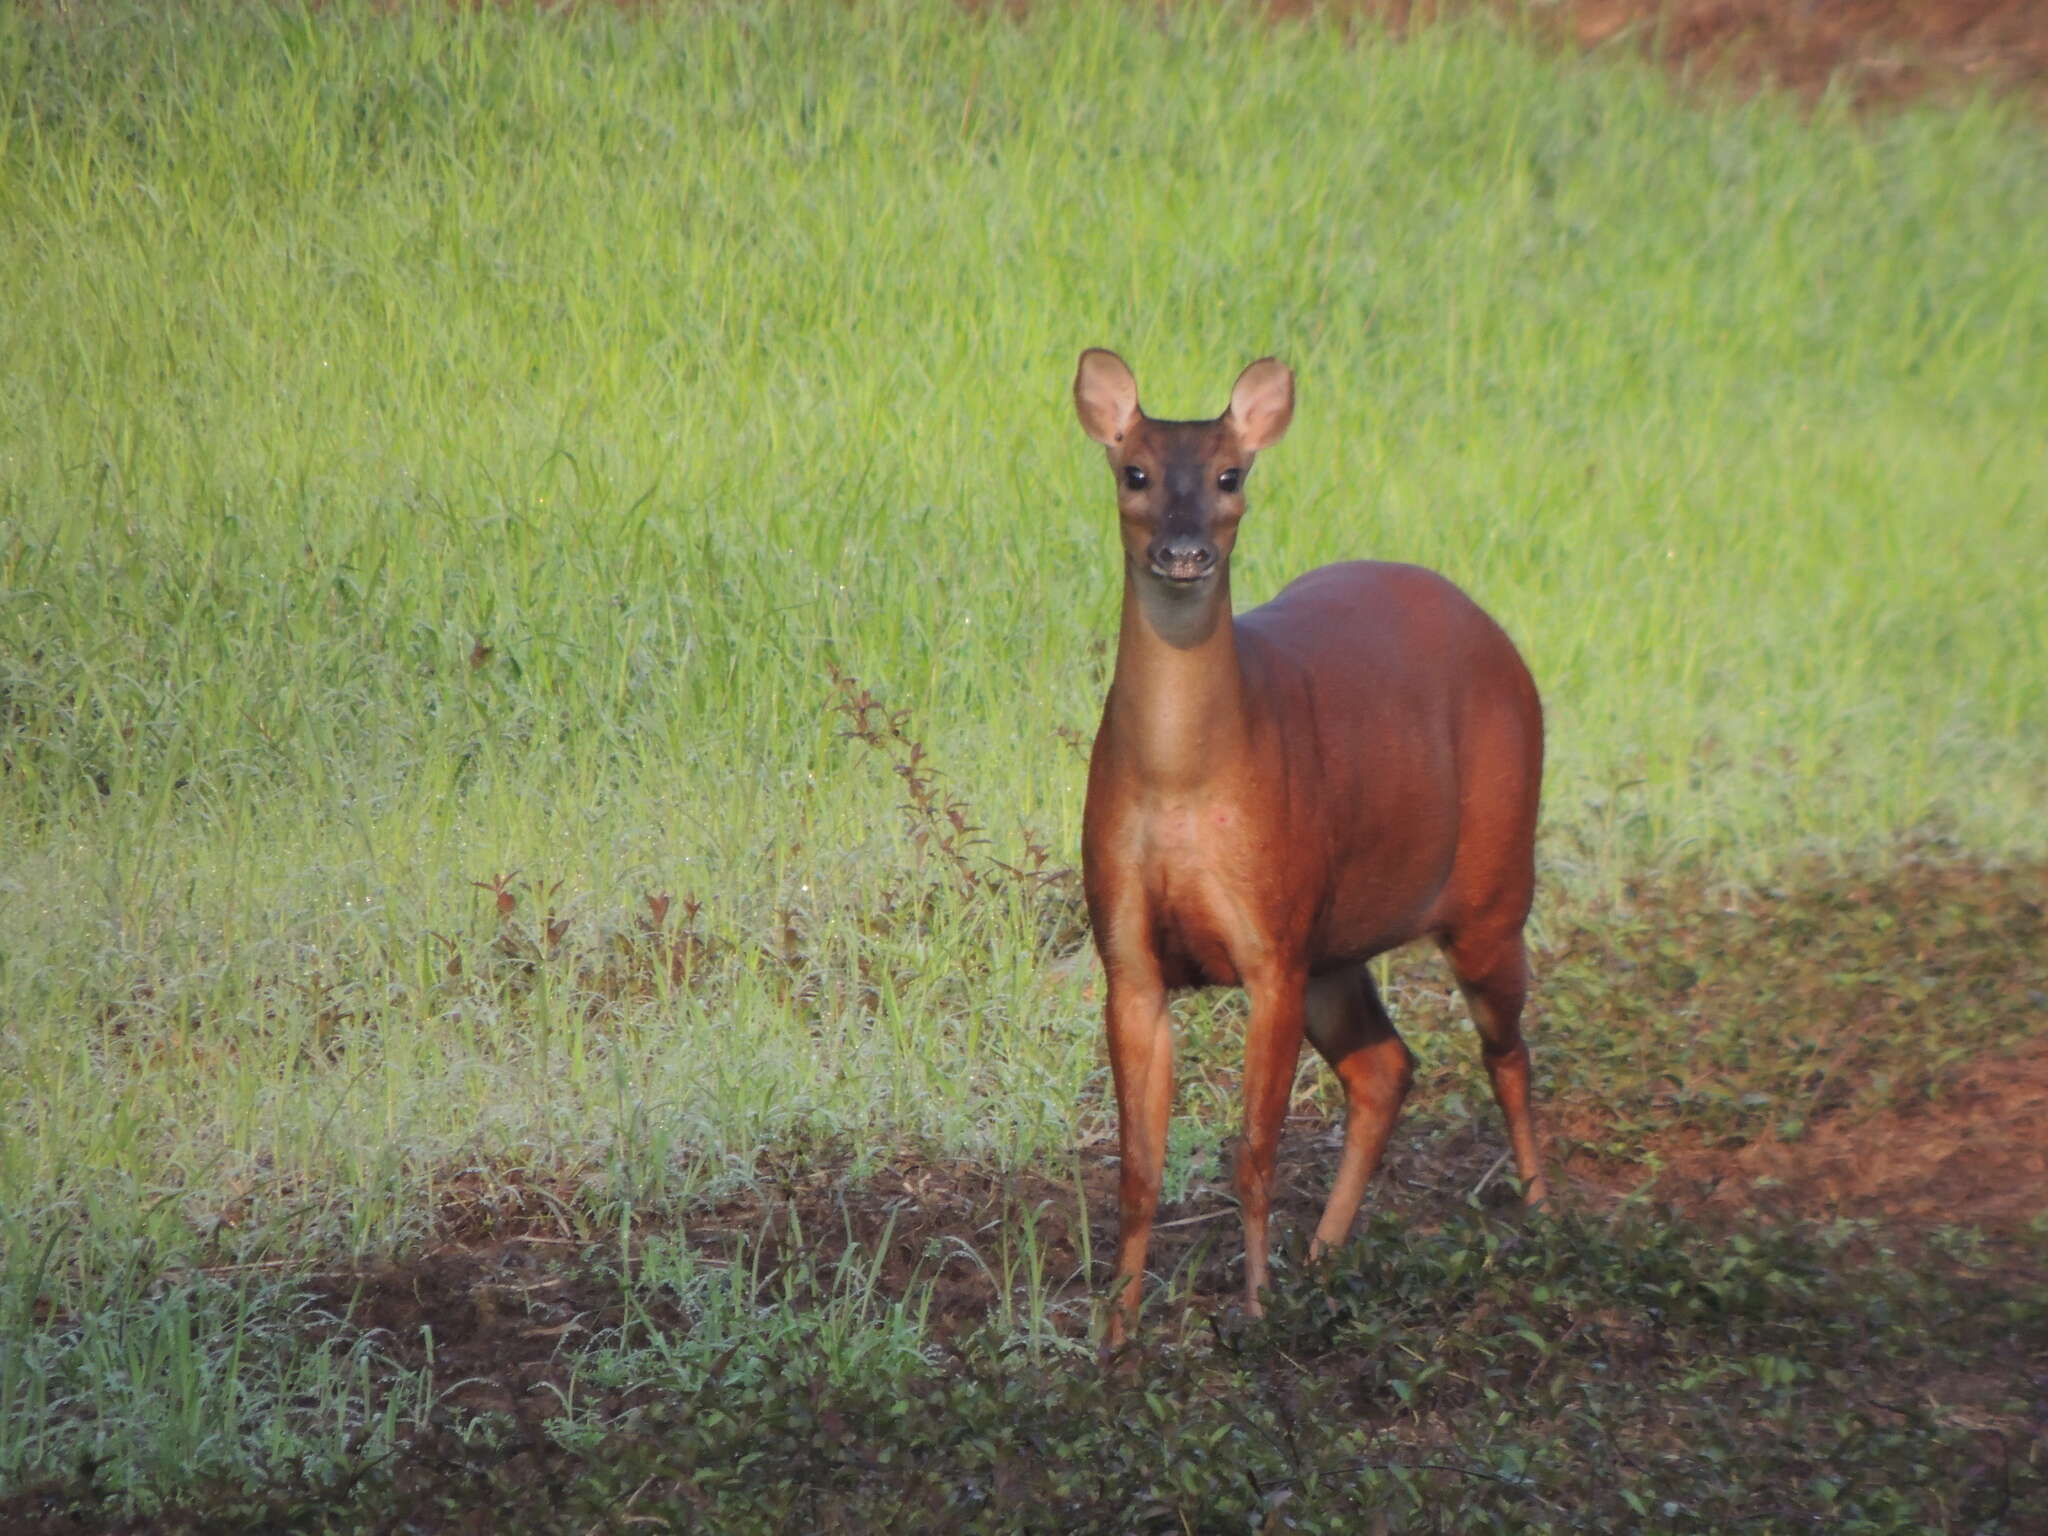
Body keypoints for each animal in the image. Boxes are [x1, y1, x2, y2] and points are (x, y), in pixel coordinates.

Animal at [1081, 346, 1540, 1343]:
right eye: (1134, 473)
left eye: (1230, 475)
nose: (1183, 552)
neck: (1182, 785)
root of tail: (1502, 639)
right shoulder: (1129, 956)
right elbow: (1137, 1169)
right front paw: (1117, 1333)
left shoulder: (1272, 946)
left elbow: (1254, 1151)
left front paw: (1254, 1310)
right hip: (1339, 937)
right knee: (1386, 1066)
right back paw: (1327, 1256)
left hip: (1492, 888)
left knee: (1506, 1051)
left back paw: (1543, 1212)